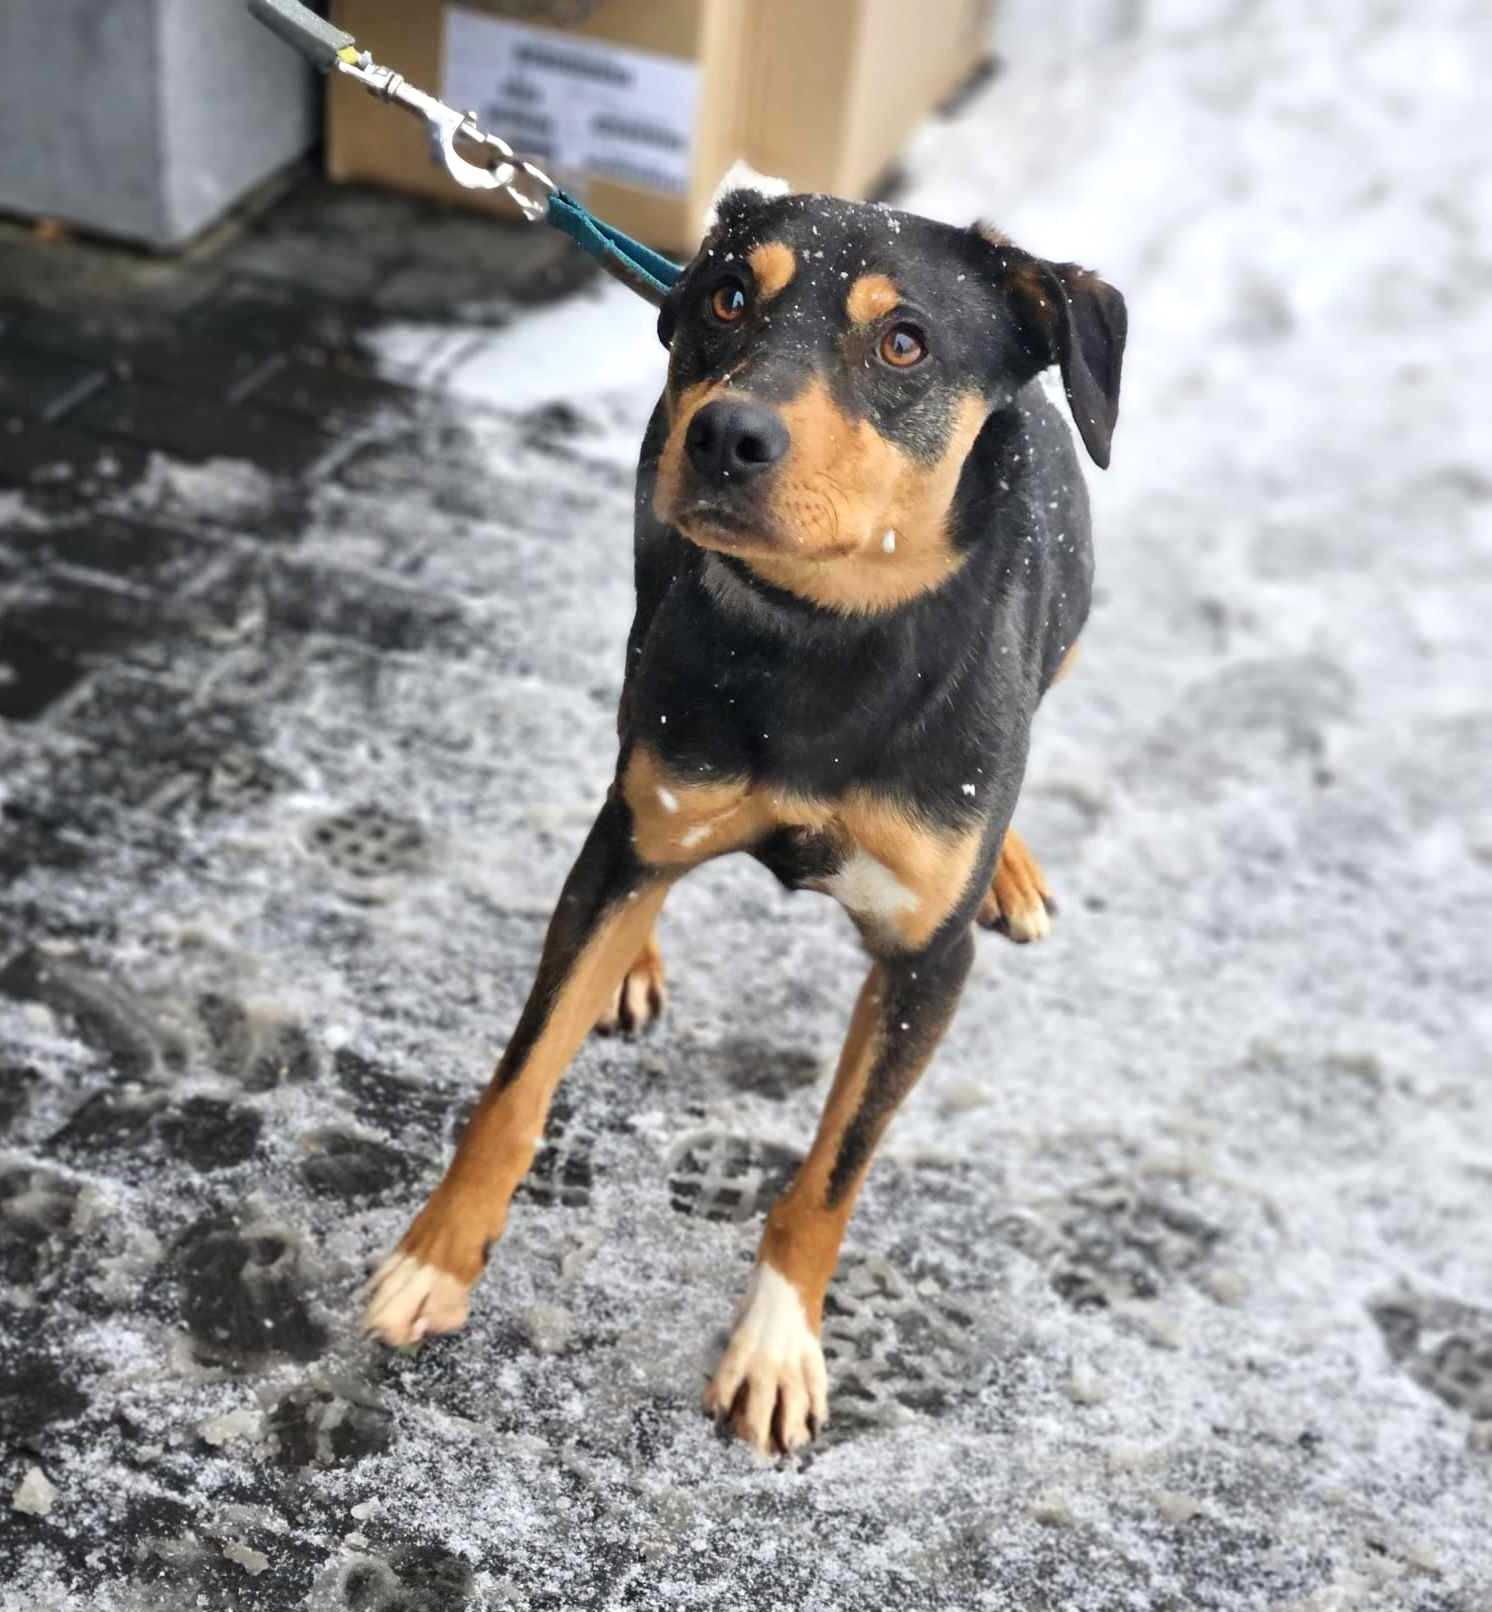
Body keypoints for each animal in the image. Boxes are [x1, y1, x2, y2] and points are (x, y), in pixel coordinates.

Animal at [367, 179, 1127, 1463]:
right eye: (728, 297)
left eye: (904, 341)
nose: (726, 435)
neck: (821, 634)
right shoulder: (637, 821)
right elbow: (518, 1082)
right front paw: (436, 1257)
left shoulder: (927, 964)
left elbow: (830, 1175)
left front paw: (775, 1341)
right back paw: (633, 953)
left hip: (1068, 629)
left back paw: (1009, 866)